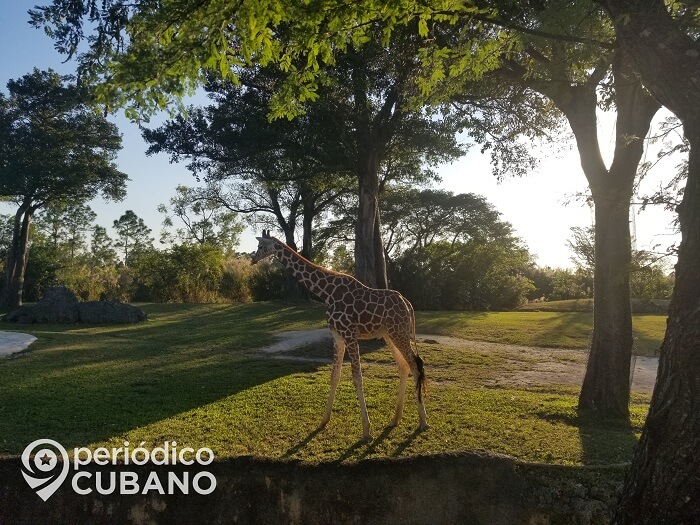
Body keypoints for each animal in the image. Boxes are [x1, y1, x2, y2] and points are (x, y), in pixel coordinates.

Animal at [252, 229, 426, 438]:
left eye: (261, 246)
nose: (253, 259)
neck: (327, 293)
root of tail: (408, 304)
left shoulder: (350, 335)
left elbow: (357, 378)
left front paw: (366, 430)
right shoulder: (337, 337)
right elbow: (335, 376)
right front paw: (323, 421)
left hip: (398, 332)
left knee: (415, 366)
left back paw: (423, 422)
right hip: (389, 334)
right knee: (404, 366)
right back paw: (395, 419)